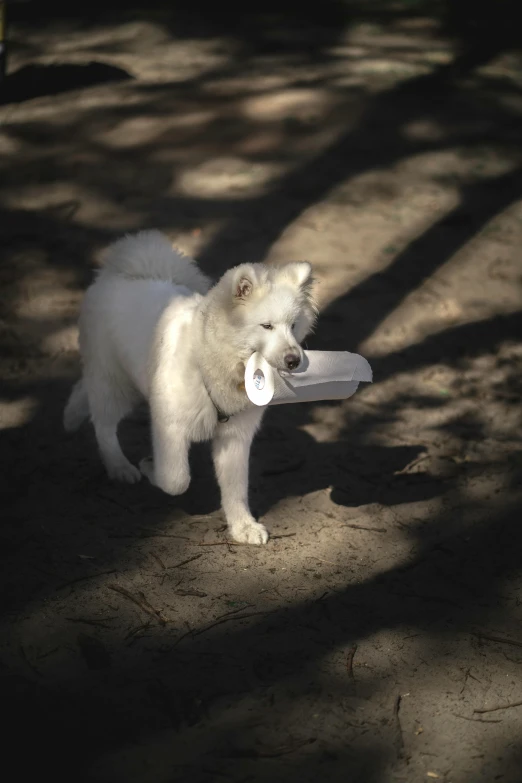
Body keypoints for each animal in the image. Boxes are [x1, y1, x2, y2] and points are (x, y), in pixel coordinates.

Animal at [65, 230, 316, 544]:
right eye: (266, 326)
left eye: (293, 326)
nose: (295, 360)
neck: (212, 362)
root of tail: (120, 274)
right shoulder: (170, 426)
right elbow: (175, 479)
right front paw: (149, 466)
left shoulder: (235, 437)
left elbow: (236, 490)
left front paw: (243, 527)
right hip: (114, 384)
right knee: (103, 425)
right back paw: (119, 466)